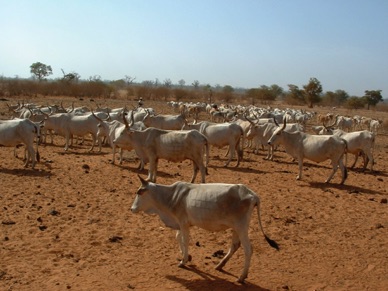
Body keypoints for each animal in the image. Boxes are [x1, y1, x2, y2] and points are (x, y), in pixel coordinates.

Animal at [132, 176, 280, 286]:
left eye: (139, 192)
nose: (132, 209)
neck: (172, 196)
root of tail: (253, 195)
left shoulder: (183, 222)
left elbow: (184, 240)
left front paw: (183, 261)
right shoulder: (182, 224)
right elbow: (178, 237)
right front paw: (186, 256)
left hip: (241, 227)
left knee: (248, 249)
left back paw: (241, 277)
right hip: (236, 228)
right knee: (235, 245)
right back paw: (220, 265)